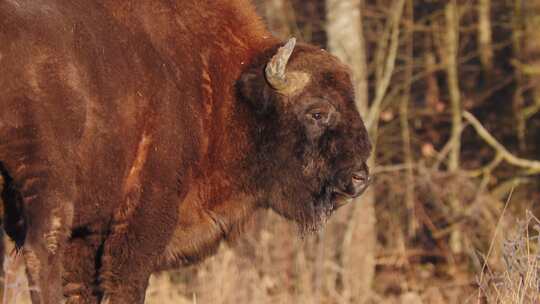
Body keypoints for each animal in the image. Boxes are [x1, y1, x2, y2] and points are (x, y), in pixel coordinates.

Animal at [0, 0, 372, 302]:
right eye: (317, 112)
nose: (360, 178)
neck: (227, 89)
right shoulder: (142, 219)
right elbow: (124, 283)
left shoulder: (89, 232)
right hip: (48, 184)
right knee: (41, 251)